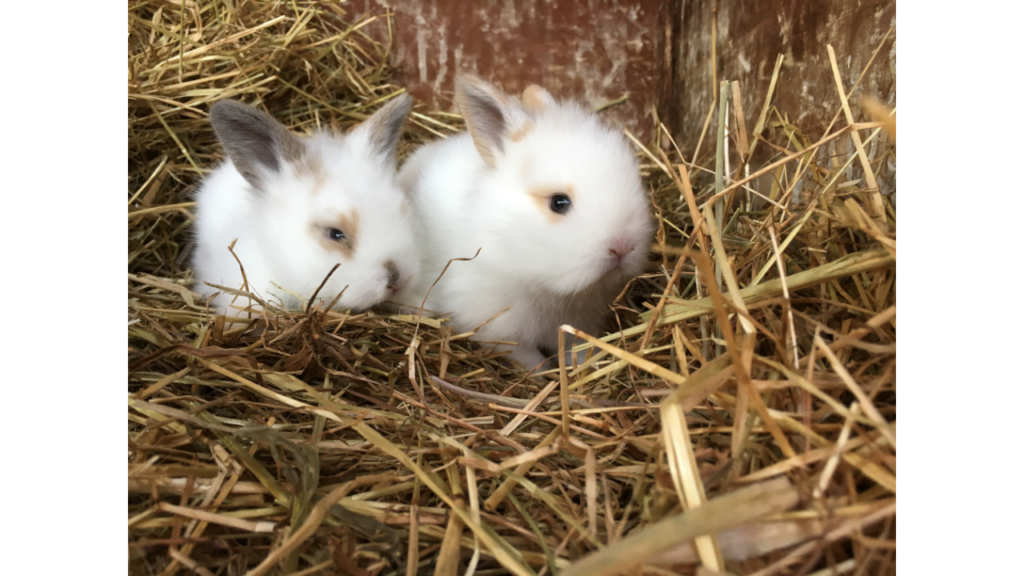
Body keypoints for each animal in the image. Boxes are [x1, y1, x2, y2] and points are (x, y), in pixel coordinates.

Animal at [395, 76, 653, 369]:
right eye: (559, 202)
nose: (623, 247)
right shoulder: (501, 330)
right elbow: (531, 362)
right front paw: (546, 373)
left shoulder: (576, 324)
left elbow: (575, 350)